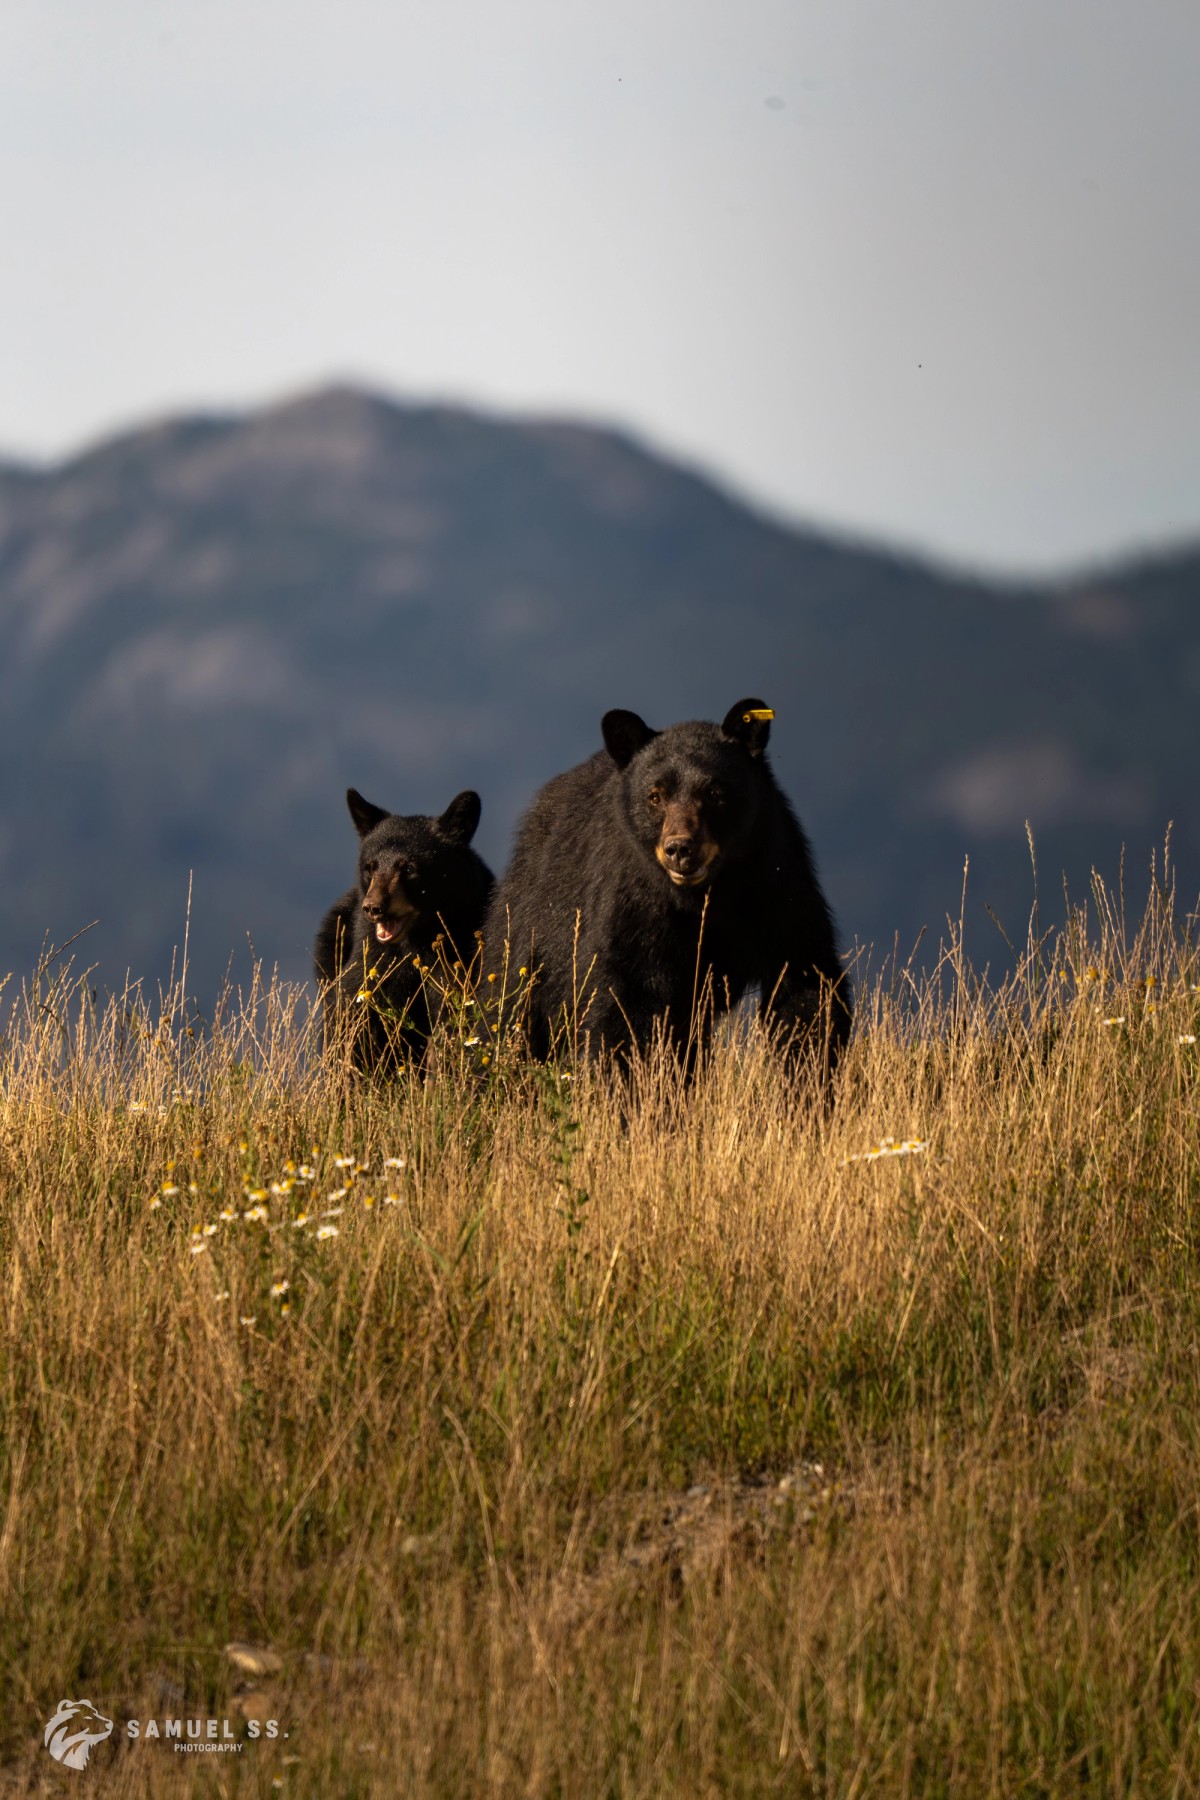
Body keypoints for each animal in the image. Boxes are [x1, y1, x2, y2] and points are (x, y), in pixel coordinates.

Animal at [315, 787, 494, 1070]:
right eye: (370, 867)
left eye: (408, 868)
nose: (373, 907)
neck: (415, 942)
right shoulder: (375, 963)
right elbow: (354, 1020)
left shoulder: (461, 958)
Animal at [484, 698, 850, 1076]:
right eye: (655, 796)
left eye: (714, 792)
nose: (680, 849)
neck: (706, 895)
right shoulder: (635, 903)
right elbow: (628, 1005)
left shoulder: (777, 883)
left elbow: (804, 981)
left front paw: (809, 1074)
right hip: (532, 929)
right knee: (510, 1007)